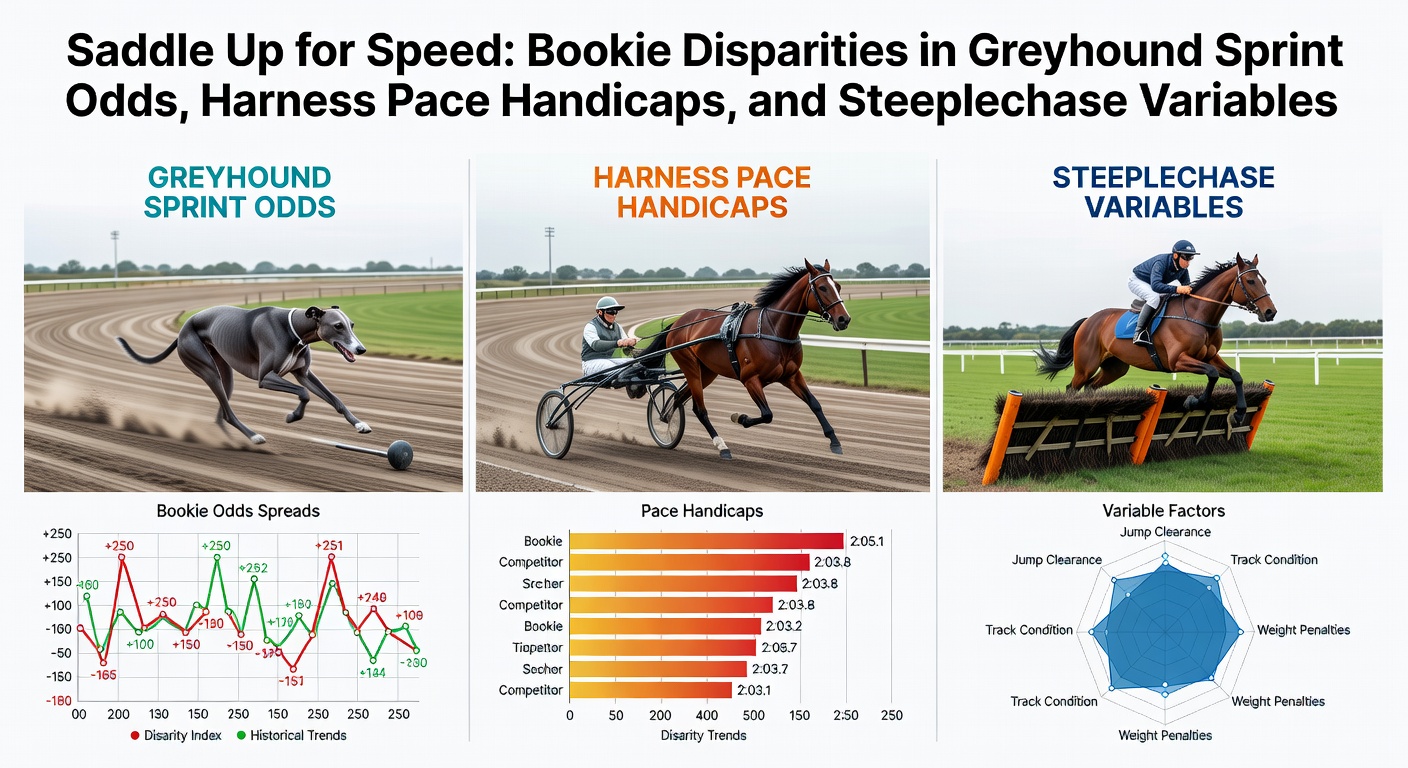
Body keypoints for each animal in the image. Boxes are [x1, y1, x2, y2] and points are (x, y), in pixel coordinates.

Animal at [636, 259, 851, 460]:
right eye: (822, 287)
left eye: (838, 286)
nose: (844, 319)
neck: (772, 329)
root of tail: (677, 323)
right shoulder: (750, 379)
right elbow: (767, 414)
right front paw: (739, 417)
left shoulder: (791, 376)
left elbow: (815, 403)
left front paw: (834, 441)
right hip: (690, 367)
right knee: (700, 409)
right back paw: (721, 446)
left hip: (707, 372)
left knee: (679, 398)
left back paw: (666, 420)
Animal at [1034, 254, 1277, 425]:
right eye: (1250, 281)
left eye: (1264, 280)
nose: (1270, 312)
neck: (1198, 314)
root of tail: (1089, 320)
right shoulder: (1178, 360)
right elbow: (1213, 374)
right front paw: (1193, 400)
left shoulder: (1210, 357)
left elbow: (1235, 376)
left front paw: (1239, 414)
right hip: (1086, 366)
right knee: (1072, 388)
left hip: (1115, 368)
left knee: (1091, 387)